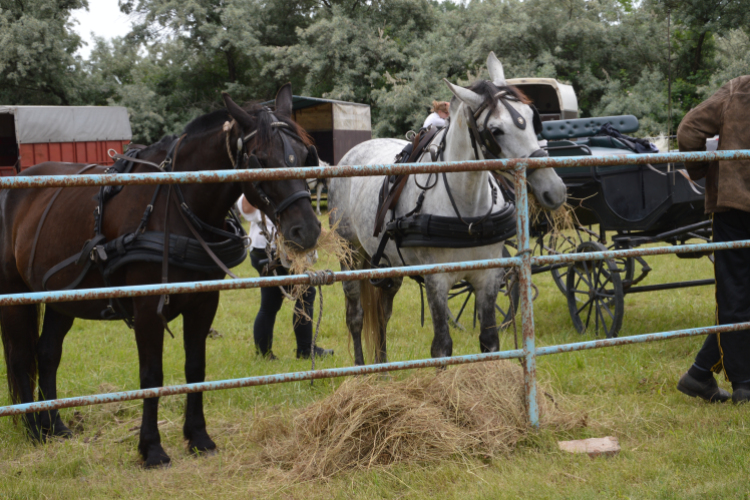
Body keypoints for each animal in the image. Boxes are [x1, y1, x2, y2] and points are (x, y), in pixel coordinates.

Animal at [0, 84, 320, 466]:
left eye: (306, 154)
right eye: (259, 159)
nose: (307, 230)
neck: (177, 206)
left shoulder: (203, 302)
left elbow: (195, 368)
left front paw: (199, 437)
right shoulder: (147, 308)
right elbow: (152, 374)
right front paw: (151, 448)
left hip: (63, 298)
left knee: (47, 353)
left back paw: (55, 426)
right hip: (16, 296)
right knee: (22, 358)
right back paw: (33, 429)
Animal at [328, 51, 564, 364]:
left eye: (530, 118)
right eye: (496, 130)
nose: (555, 189)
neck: (467, 213)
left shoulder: (489, 276)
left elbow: (489, 342)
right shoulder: (437, 281)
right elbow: (442, 347)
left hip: (388, 265)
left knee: (381, 315)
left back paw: (383, 367)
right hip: (350, 253)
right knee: (356, 315)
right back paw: (361, 368)